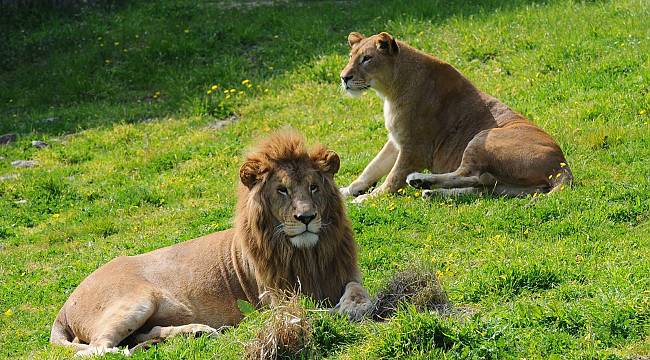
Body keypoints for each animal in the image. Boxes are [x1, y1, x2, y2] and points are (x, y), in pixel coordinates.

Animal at [52, 131, 370, 356]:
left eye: (314, 187)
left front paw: (354, 306)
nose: (306, 217)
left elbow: (357, 291)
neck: (307, 255)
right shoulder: (276, 298)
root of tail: (64, 306)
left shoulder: (345, 273)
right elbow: (305, 311)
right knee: (97, 350)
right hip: (136, 301)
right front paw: (334, 312)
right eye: (282, 190)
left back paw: (193, 333)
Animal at [336, 31, 568, 201]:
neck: (390, 90)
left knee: (470, 174)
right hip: (505, 185)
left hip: (483, 137)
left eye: (367, 59)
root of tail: (561, 166)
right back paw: (429, 191)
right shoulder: (396, 141)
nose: (344, 77)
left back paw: (420, 180)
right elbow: (371, 168)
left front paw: (369, 198)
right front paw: (346, 190)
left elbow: (393, 178)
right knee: (481, 183)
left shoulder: (415, 149)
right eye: (351, 57)